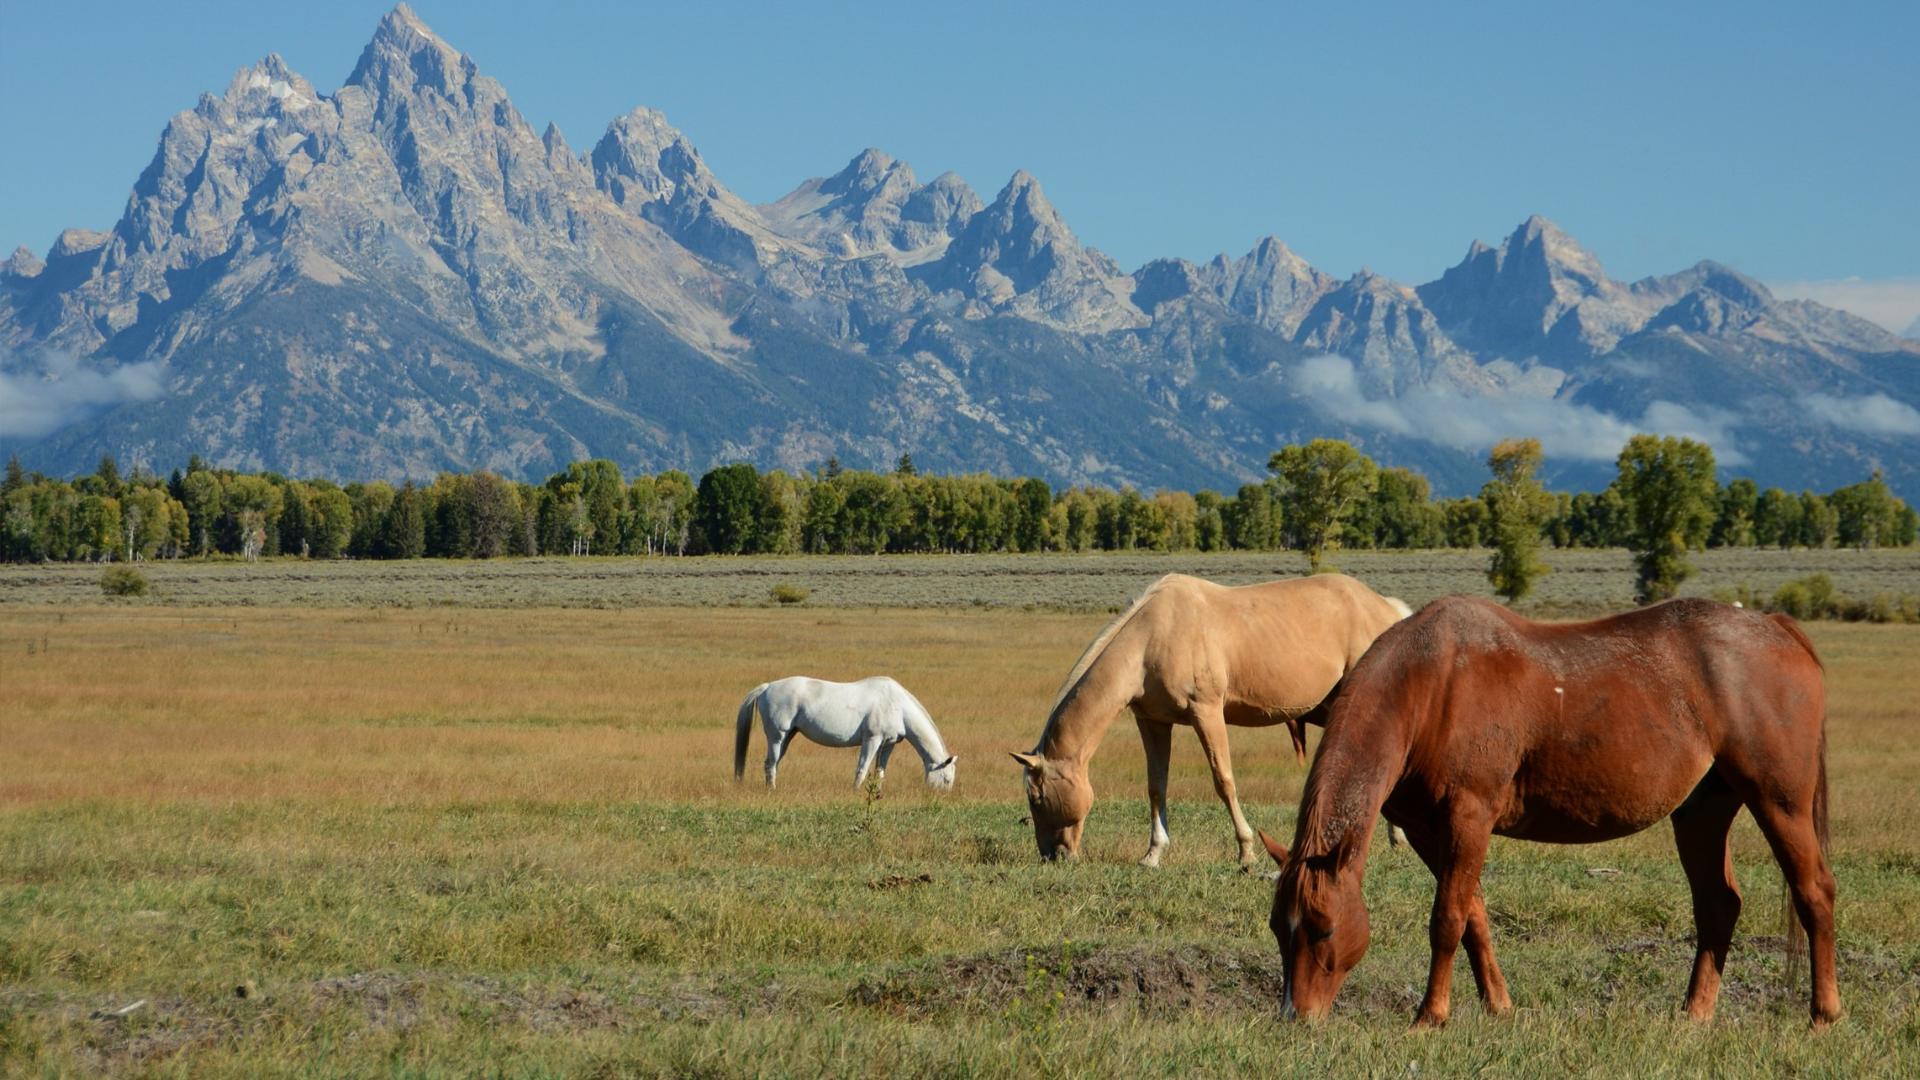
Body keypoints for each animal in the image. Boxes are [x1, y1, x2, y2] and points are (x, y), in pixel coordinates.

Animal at [733, 672, 960, 791]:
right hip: (777, 736)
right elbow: (862, 768)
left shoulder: (888, 744)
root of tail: (767, 686)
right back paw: (772, 789)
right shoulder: (872, 739)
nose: (941, 797)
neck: (898, 705)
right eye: (947, 780)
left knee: (773, 763)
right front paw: (856, 791)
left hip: (788, 736)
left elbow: (880, 772)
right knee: (770, 764)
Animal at [1006, 572, 1413, 864]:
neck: (1152, 637)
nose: (1053, 856)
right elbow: (1157, 786)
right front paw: (1153, 853)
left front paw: (1246, 852)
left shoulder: (1207, 713)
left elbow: (1224, 781)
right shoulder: (1153, 722)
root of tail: (1387, 608)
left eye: (1037, 798)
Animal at [1267, 595, 1835, 1022]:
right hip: (1702, 813)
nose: (1297, 1018)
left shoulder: (1469, 818)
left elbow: (1447, 919)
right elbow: (1473, 916)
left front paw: (1431, 1016)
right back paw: (1694, 1014)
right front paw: (1497, 1006)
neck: (1430, 685)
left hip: (1779, 802)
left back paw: (1824, 1013)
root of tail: (1777, 627)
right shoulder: (1430, 831)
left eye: (1324, 929)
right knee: (1719, 904)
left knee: (1814, 892)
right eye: (1277, 928)